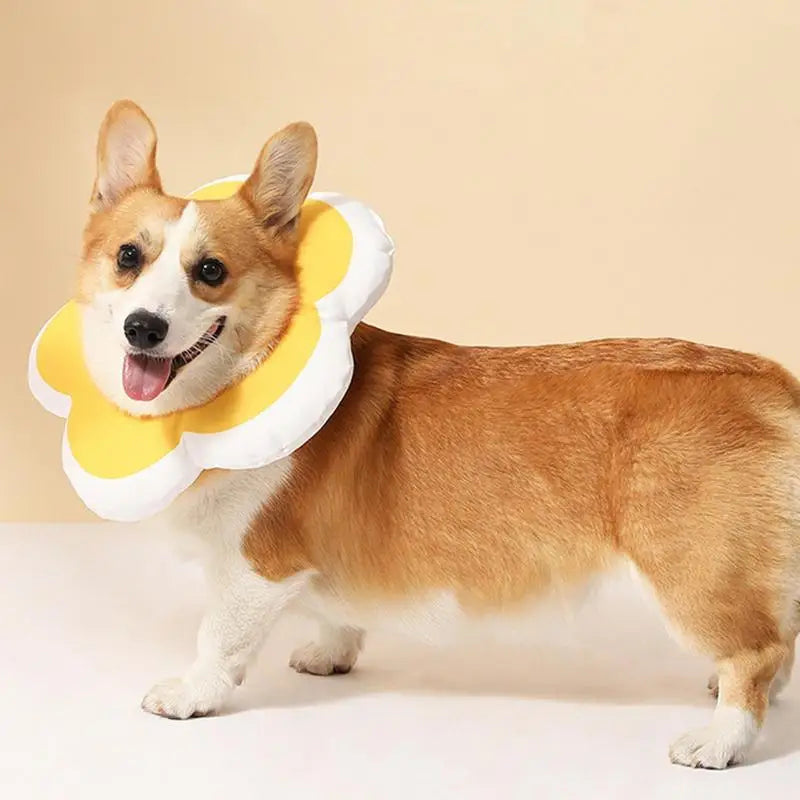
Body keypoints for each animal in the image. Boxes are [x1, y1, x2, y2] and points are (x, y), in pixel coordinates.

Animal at [76, 101, 800, 768]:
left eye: (211, 271)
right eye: (128, 257)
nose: (142, 328)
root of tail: (772, 383)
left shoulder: (253, 567)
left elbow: (218, 639)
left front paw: (189, 694)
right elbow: (337, 613)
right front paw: (330, 654)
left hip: (690, 568)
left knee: (756, 650)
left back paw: (720, 738)